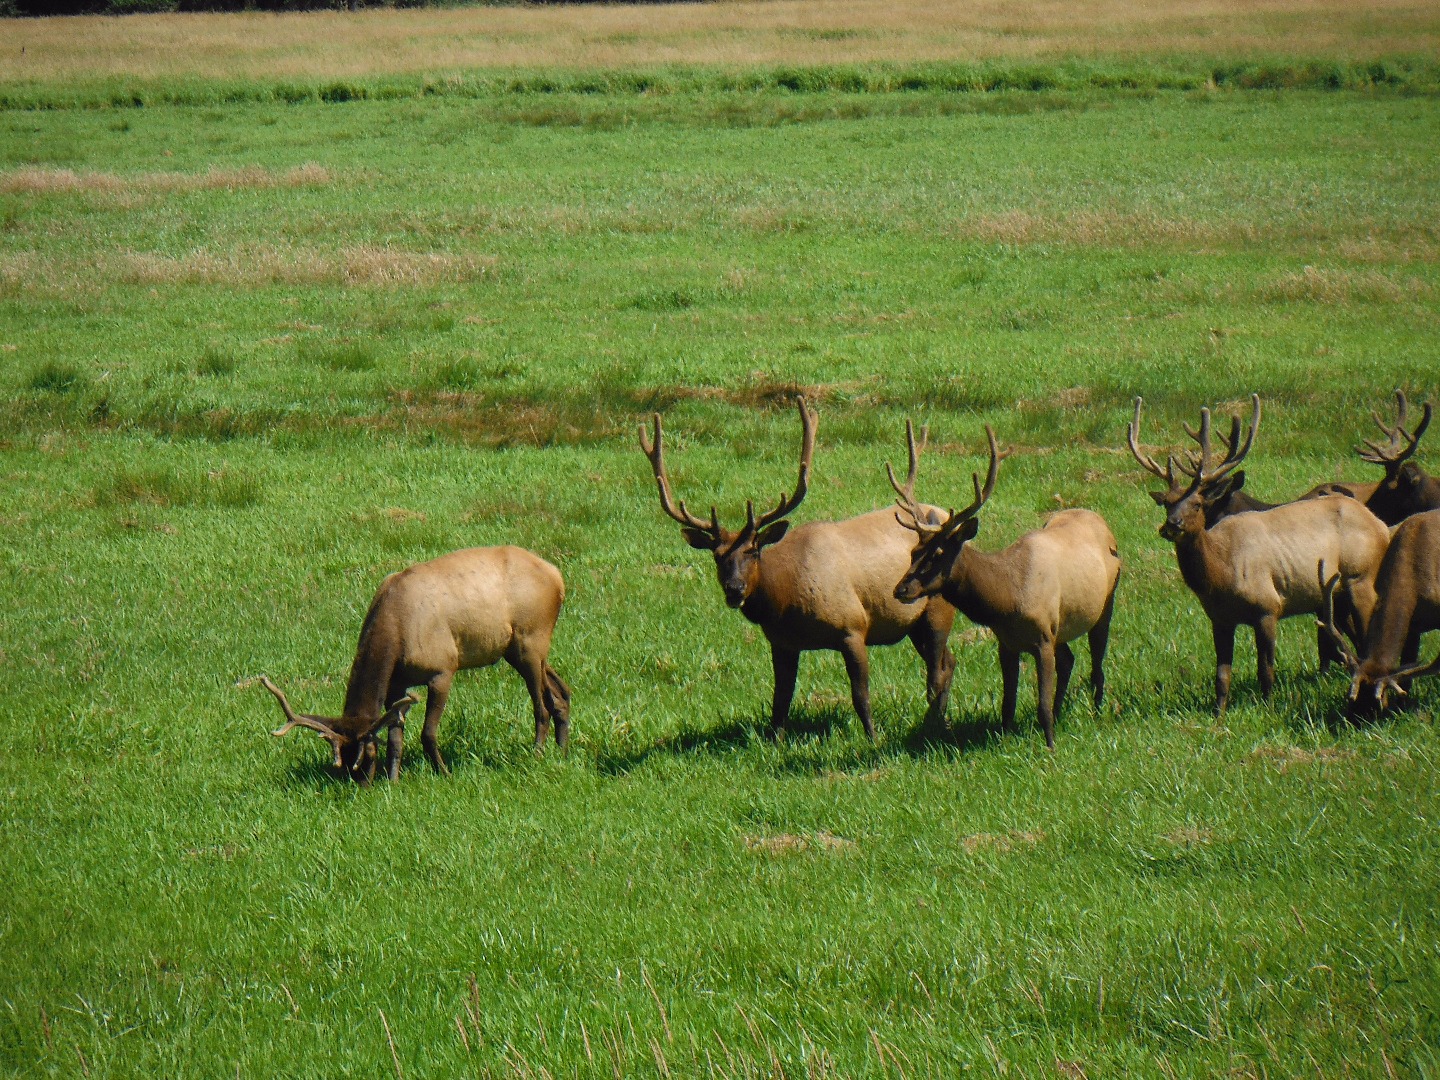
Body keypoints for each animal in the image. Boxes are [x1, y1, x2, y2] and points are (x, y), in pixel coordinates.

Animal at [256, 544, 570, 783]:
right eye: (342, 761)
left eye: (368, 754)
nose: (361, 785)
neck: (395, 631)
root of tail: (558, 577)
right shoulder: (396, 684)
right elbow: (396, 737)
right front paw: (394, 780)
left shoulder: (443, 669)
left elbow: (428, 733)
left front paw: (443, 772)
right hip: (517, 650)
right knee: (560, 693)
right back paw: (562, 749)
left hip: (531, 639)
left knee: (541, 705)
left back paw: (537, 753)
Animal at [642, 400, 956, 743]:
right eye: (717, 556)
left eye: (753, 551)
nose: (734, 589)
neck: (785, 600)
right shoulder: (782, 642)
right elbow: (781, 699)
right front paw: (774, 741)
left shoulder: (853, 627)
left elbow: (860, 695)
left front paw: (873, 738)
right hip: (915, 623)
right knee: (949, 662)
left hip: (938, 609)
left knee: (938, 670)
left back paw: (933, 723)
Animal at [887, 423, 1123, 754]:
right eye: (913, 552)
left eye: (938, 554)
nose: (901, 589)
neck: (1008, 598)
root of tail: (1101, 520)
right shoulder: (1007, 643)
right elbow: (1007, 703)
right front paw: (1005, 737)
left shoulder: (1042, 638)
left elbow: (1041, 703)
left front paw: (1050, 745)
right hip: (1061, 626)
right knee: (1069, 660)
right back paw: (1063, 712)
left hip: (1105, 604)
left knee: (1097, 662)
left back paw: (1097, 712)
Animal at [1128, 397, 1388, 720]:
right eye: (1166, 504)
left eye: (1198, 504)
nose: (1170, 526)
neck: (1220, 576)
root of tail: (1381, 526)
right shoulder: (1219, 619)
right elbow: (1221, 675)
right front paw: (1218, 714)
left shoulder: (1268, 606)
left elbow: (1266, 670)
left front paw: (1268, 707)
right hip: (1335, 595)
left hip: (1361, 576)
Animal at [1319, 512, 1440, 722]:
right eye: (1350, 697)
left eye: (1378, 700)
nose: (1355, 721)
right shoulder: (1413, 625)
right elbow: (1405, 668)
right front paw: (1402, 706)